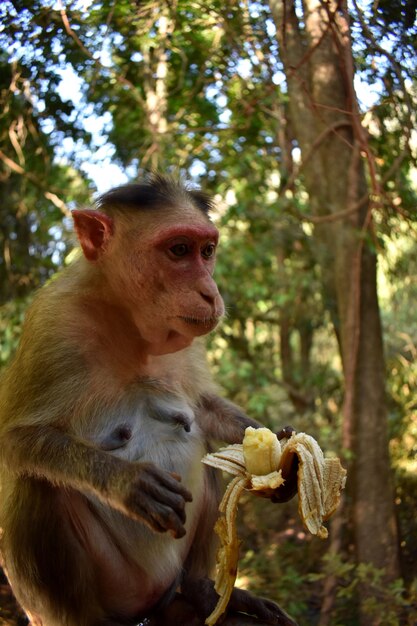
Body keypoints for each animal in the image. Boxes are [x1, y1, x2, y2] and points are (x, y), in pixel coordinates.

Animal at [0, 172, 300, 624]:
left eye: (206, 250)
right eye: (178, 250)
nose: (210, 293)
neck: (127, 321)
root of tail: (156, 598)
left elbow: (203, 410)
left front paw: (281, 457)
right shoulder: (51, 323)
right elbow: (14, 439)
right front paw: (126, 482)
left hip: (169, 580)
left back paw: (202, 592)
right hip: (113, 589)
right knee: (39, 484)